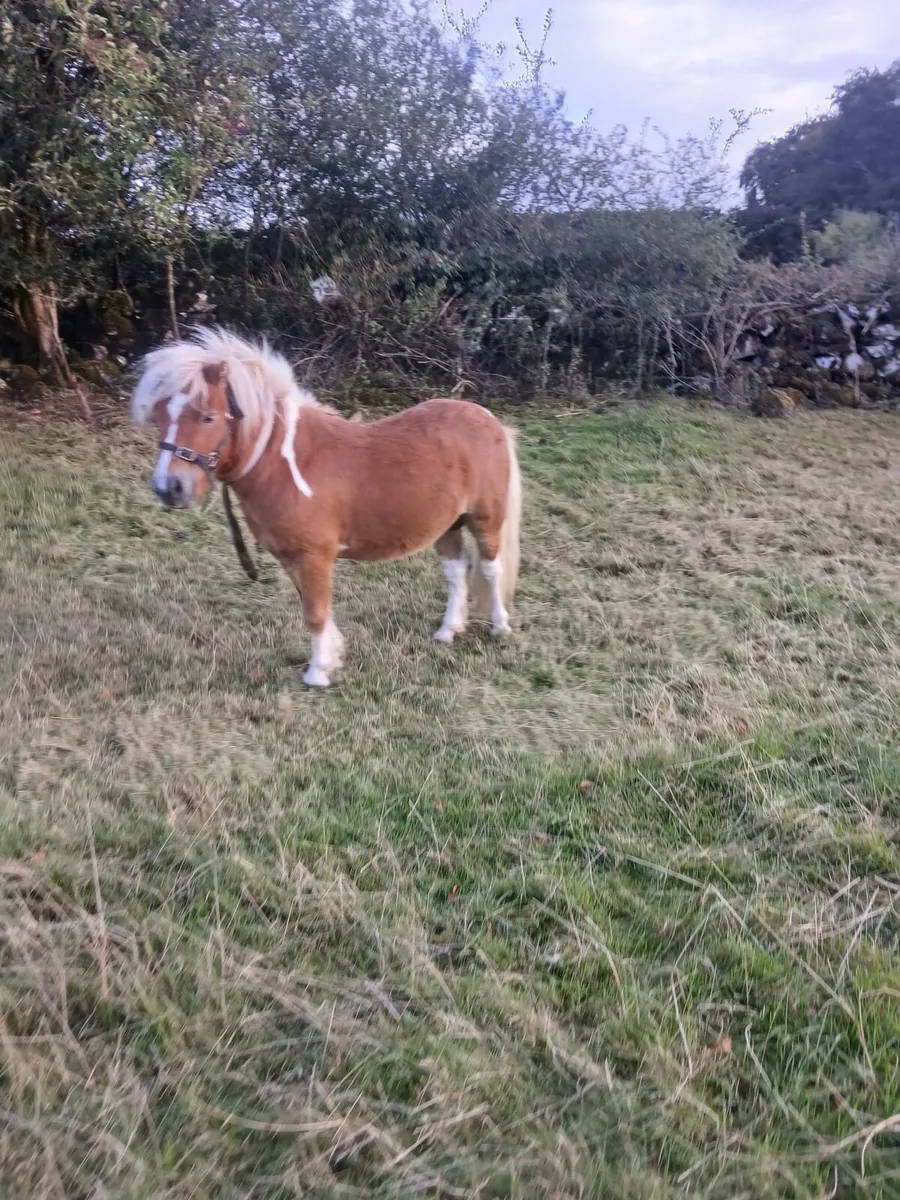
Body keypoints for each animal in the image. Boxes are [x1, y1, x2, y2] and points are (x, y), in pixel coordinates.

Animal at [131, 328, 522, 688]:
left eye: (208, 417)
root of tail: (488, 419)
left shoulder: (314, 557)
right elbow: (314, 609)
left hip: (485, 519)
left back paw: (500, 626)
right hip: (448, 524)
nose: (169, 488)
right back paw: (448, 631)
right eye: (161, 416)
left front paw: (318, 673)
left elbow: (316, 613)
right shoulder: (294, 559)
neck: (286, 464)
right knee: (457, 571)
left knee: (491, 569)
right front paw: (332, 658)